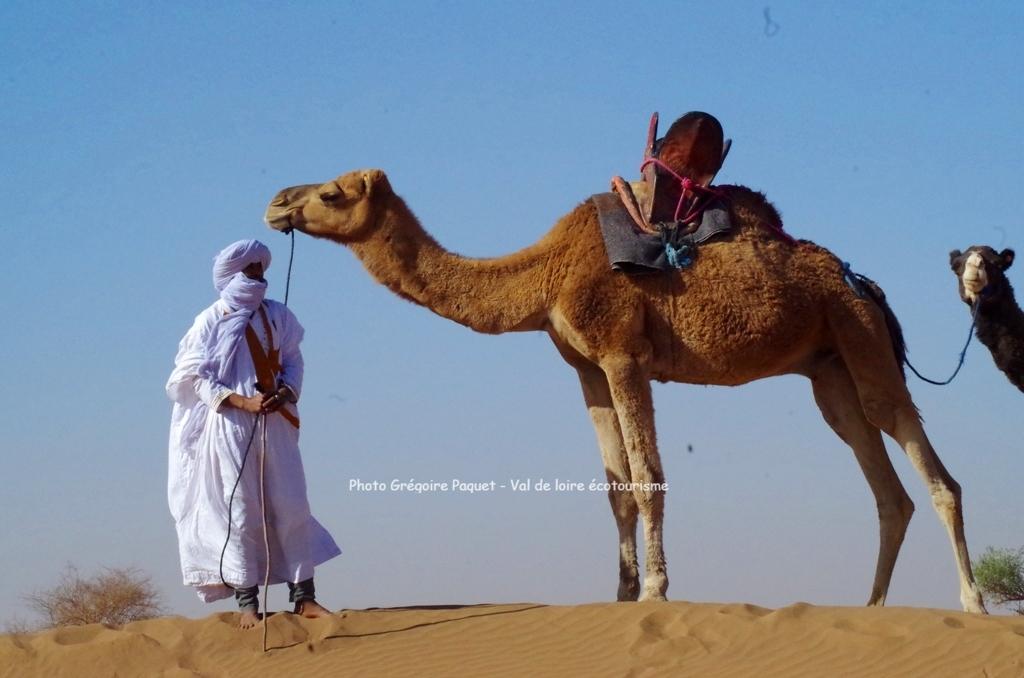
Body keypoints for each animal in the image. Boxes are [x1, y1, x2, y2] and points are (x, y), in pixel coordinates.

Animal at [268, 166, 987, 614]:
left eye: (331, 193)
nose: (276, 203)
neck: (548, 272)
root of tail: (865, 285)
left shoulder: (622, 353)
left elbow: (647, 476)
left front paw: (656, 591)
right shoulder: (586, 368)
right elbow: (614, 485)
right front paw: (618, 594)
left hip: (858, 336)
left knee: (924, 459)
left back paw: (973, 603)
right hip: (827, 368)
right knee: (882, 481)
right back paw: (872, 608)